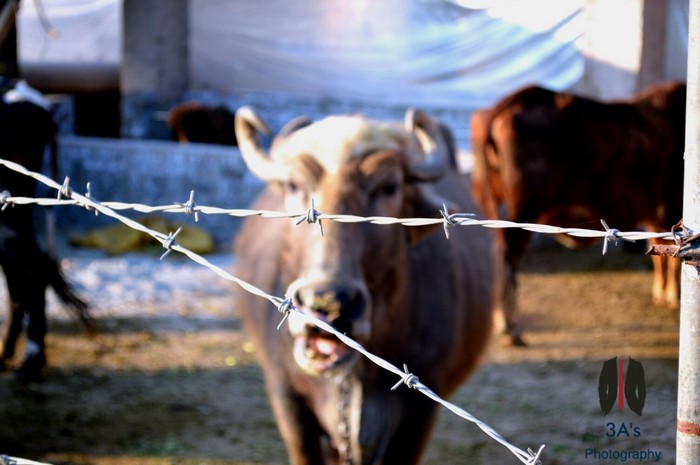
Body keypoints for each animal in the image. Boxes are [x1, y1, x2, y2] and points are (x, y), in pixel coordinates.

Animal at [470, 81, 686, 345]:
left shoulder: (655, 216)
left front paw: (662, 294)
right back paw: (509, 326)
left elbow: (659, 254)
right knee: (508, 258)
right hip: (522, 209)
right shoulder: (673, 206)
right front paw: (674, 296)